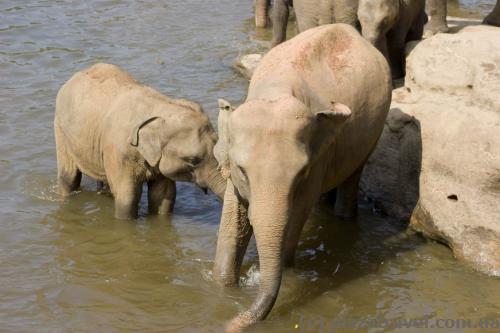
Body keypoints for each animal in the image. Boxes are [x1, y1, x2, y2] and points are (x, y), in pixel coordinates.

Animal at [54, 62, 225, 219]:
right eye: (193, 160)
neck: (161, 107)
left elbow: (164, 196)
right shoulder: (120, 152)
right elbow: (127, 198)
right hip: (61, 130)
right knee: (69, 177)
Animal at [211, 24, 390, 332]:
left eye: (301, 174)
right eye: (243, 171)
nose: (230, 324)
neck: (275, 91)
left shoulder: (318, 159)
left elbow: (297, 214)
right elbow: (234, 217)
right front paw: (223, 284)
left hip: (374, 132)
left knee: (352, 178)